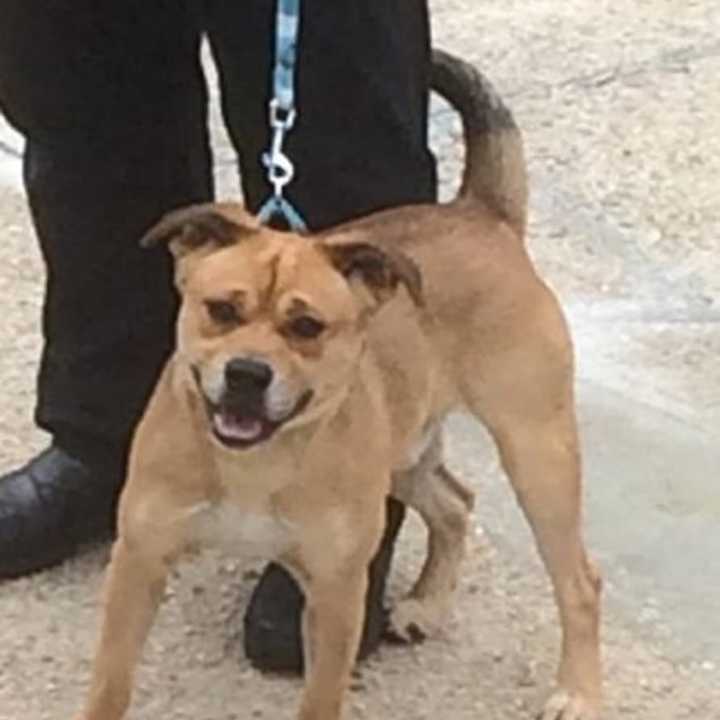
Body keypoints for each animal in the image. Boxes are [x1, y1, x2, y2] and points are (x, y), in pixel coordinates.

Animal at [74, 50, 600, 720]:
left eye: (307, 327)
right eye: (221, 310)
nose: (247, 374)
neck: (256, 461)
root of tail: (481, 213)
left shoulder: (334, 594)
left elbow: (321, 697)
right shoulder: (139, 565)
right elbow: (110, 685)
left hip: (537, 453)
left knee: (580, 582)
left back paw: (578, 691)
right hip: (406, 450)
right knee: (455, 503)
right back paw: (428, 604)